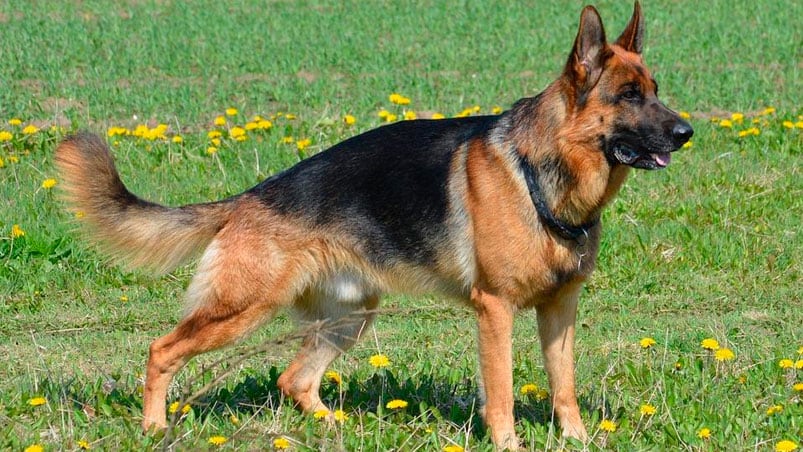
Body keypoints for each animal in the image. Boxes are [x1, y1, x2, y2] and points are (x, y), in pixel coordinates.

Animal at [56, 1, 692, 448]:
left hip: (351, 317)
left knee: (295, 380)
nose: (687, 133)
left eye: (656, 92)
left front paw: (578, 441)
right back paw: (154, 428)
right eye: (628, 95)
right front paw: (509, 444)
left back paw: (333, 427)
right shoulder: (496, 311)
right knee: (162, 350)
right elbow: (504, 393)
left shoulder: (560, 310)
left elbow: (564, 387)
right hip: (242, 309)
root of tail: (249, 198)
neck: (541, 171)